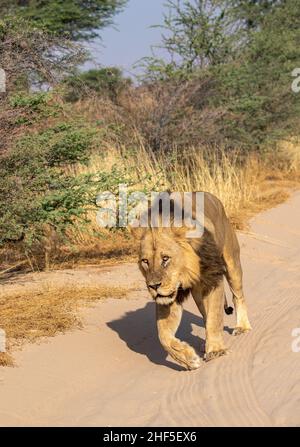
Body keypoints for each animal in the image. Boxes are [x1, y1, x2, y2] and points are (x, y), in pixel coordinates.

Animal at [130, 192, 252, 372]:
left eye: (165, 258)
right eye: (145, 261)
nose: (154, 286)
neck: (185, 273)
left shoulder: (213, 278)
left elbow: (215, 316)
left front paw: (215, 350)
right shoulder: (169, 297)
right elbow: (163, 335)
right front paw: (188, 359)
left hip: (231, 262)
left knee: (238, 296)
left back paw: (242, 327)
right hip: (198, 295)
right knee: (205, 313)